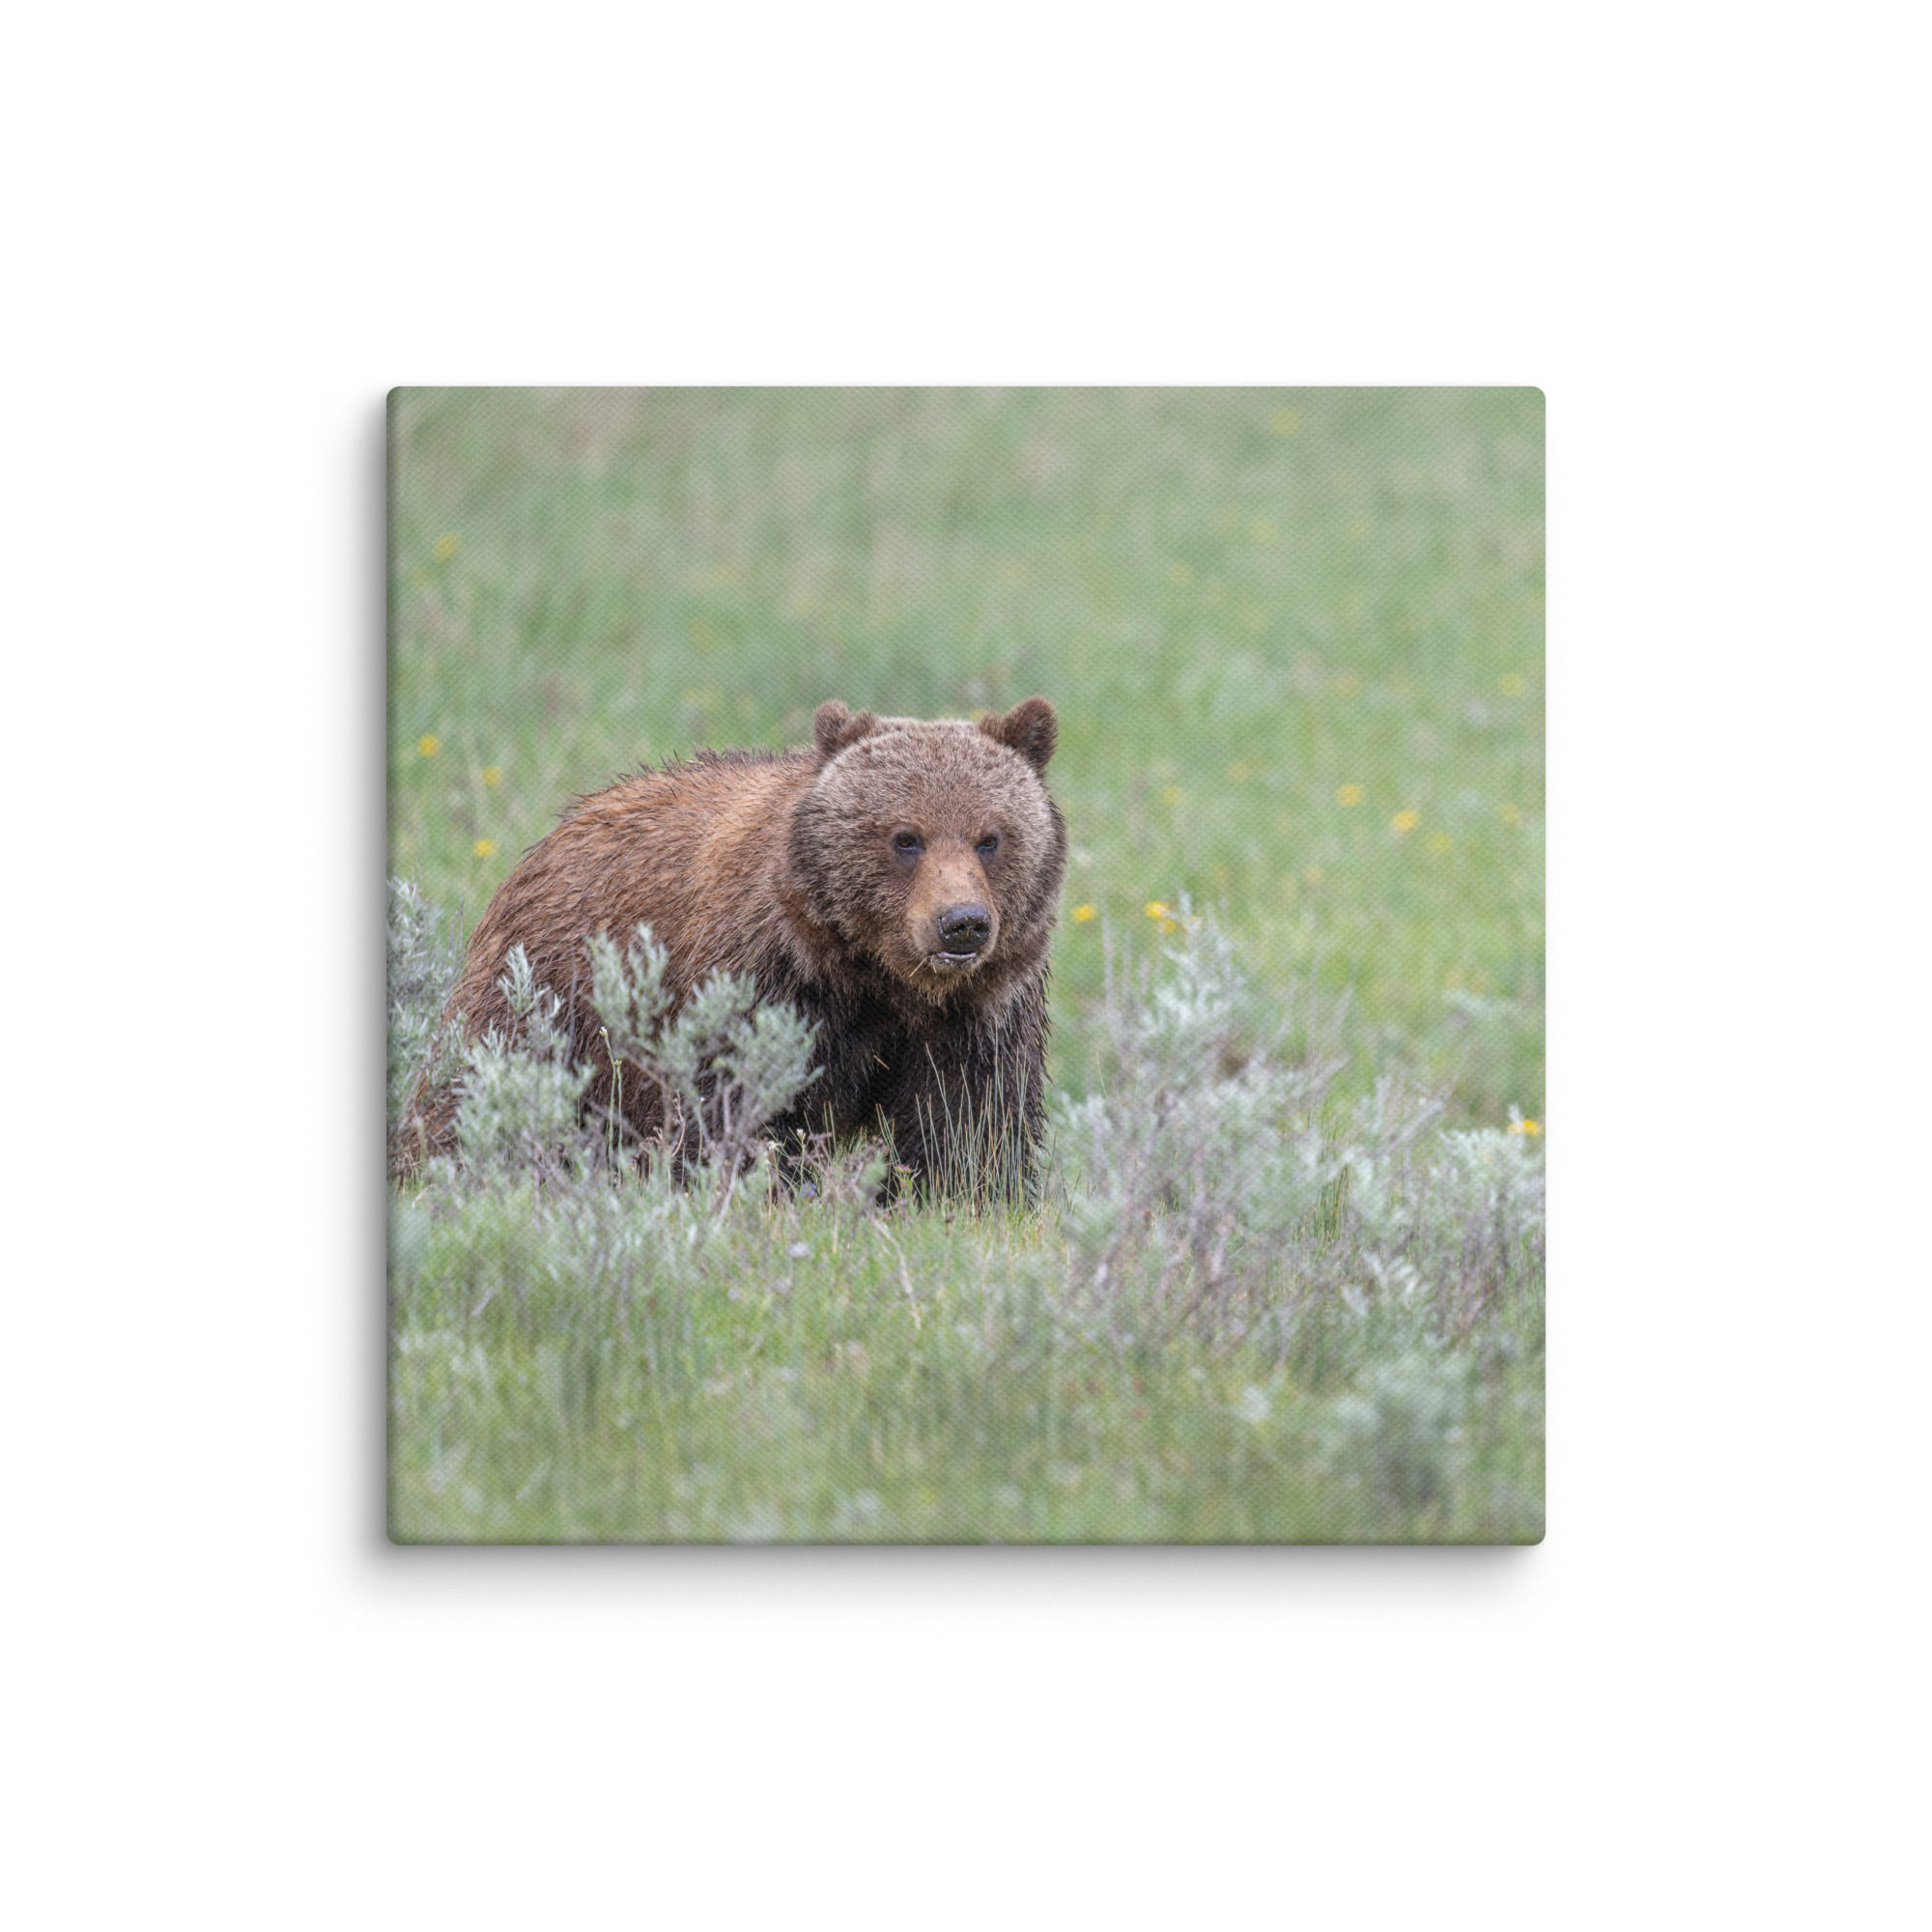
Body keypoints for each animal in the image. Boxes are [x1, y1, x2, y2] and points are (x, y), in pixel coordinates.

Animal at [403, 696, 1067, 1195]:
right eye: (906, 837)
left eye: (990, 838)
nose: (962, 923)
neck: (876, 976)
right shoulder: (767, 983)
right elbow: (735, 1108)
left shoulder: (976, 1013)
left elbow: (968, 1125)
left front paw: (961, 1196)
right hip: (549, 994)